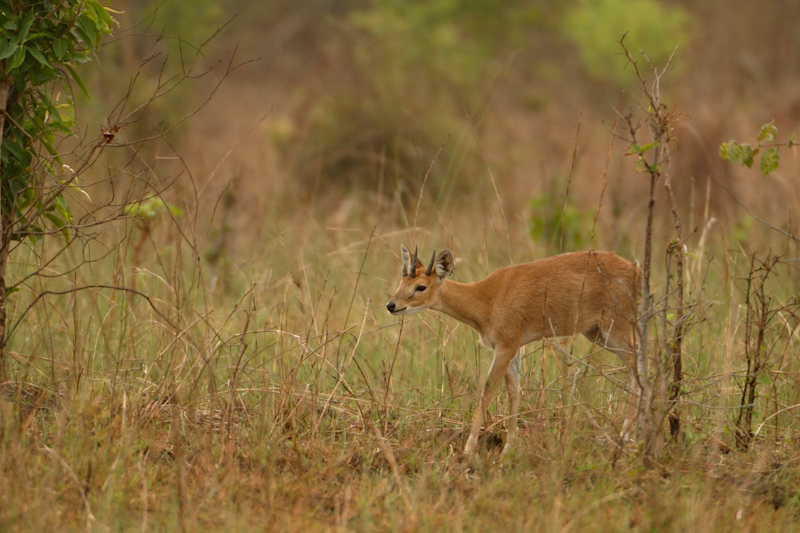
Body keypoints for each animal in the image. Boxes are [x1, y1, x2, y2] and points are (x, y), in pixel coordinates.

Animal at [384, 244, 640, 454]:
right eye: (401, 282)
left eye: (421, 286)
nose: (392, 305)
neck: (487, 299)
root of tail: (636, 270)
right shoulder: (513, 347)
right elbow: (514, 391)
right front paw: (509, 445)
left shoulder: (505, 346)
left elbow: (487, 390)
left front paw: (469, 448)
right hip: (597, 333)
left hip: (616, 328)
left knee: (639, 364)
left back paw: (625, 434)